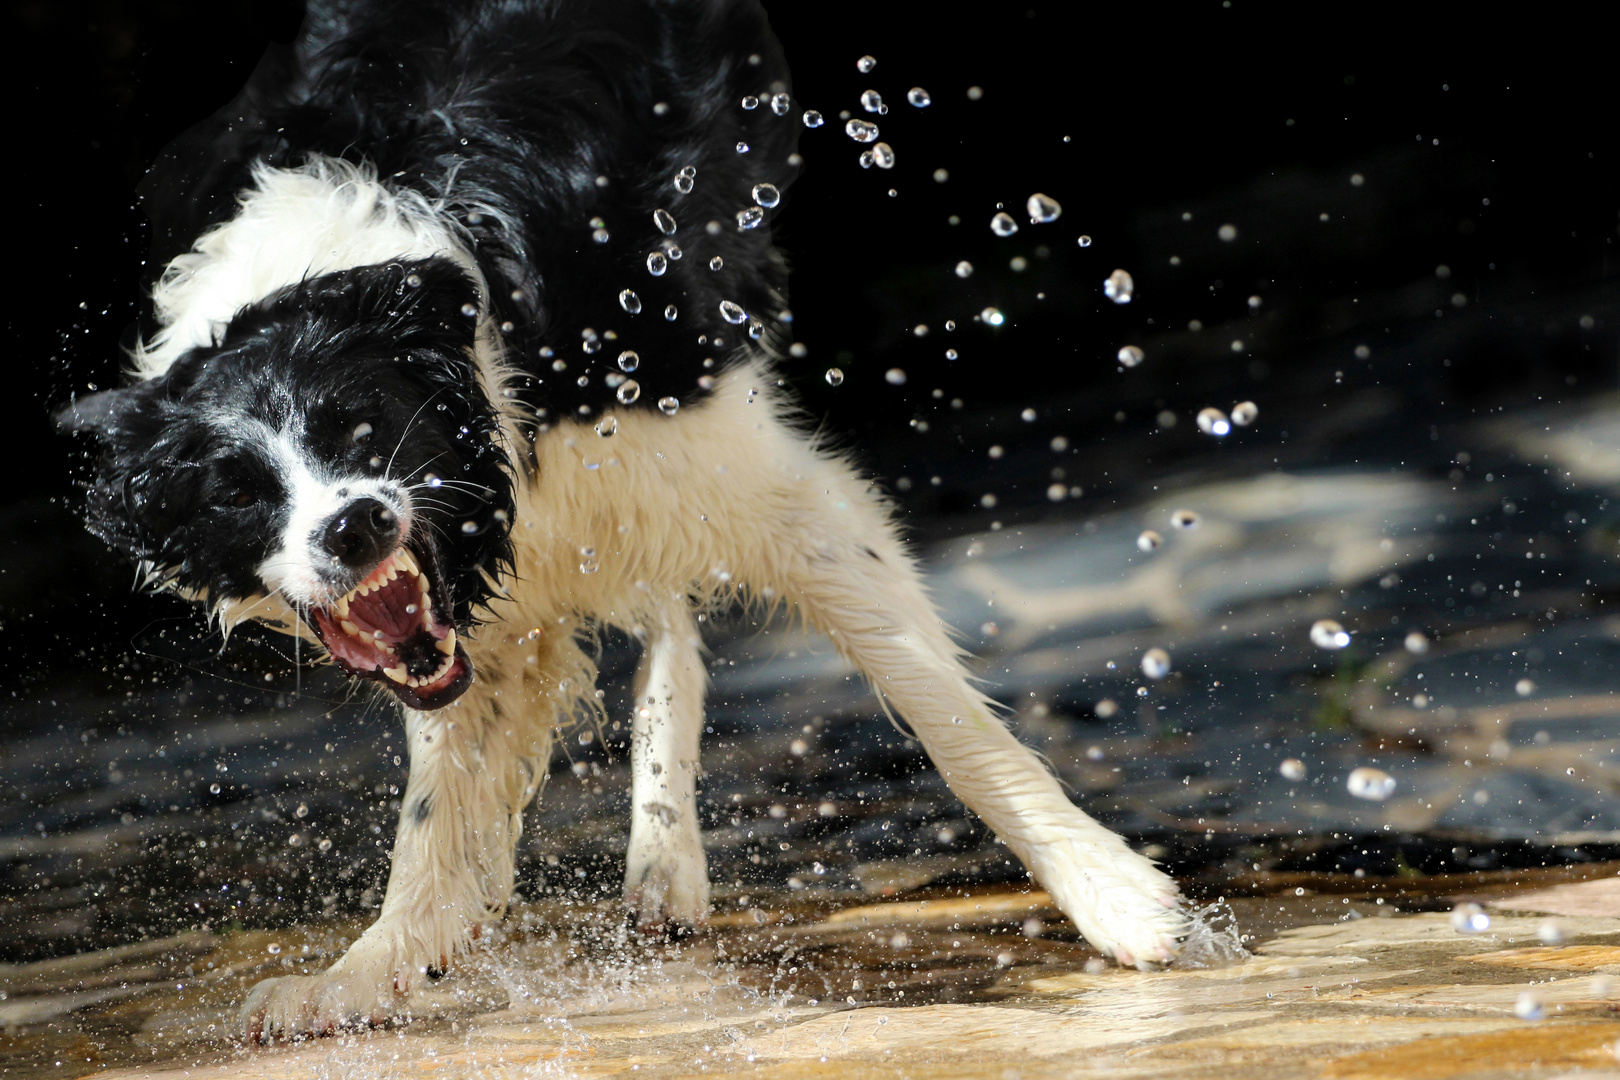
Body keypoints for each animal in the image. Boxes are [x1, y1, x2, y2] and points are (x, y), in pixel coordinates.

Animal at [57, 2, 1185, 1049]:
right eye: (236, 493)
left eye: (364, 427)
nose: (356, 527)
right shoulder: (486, 603)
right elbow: (437, 803)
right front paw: (369, 970)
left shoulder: (752, 474)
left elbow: (944, 714)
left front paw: (1117, 899)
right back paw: (660, 854)